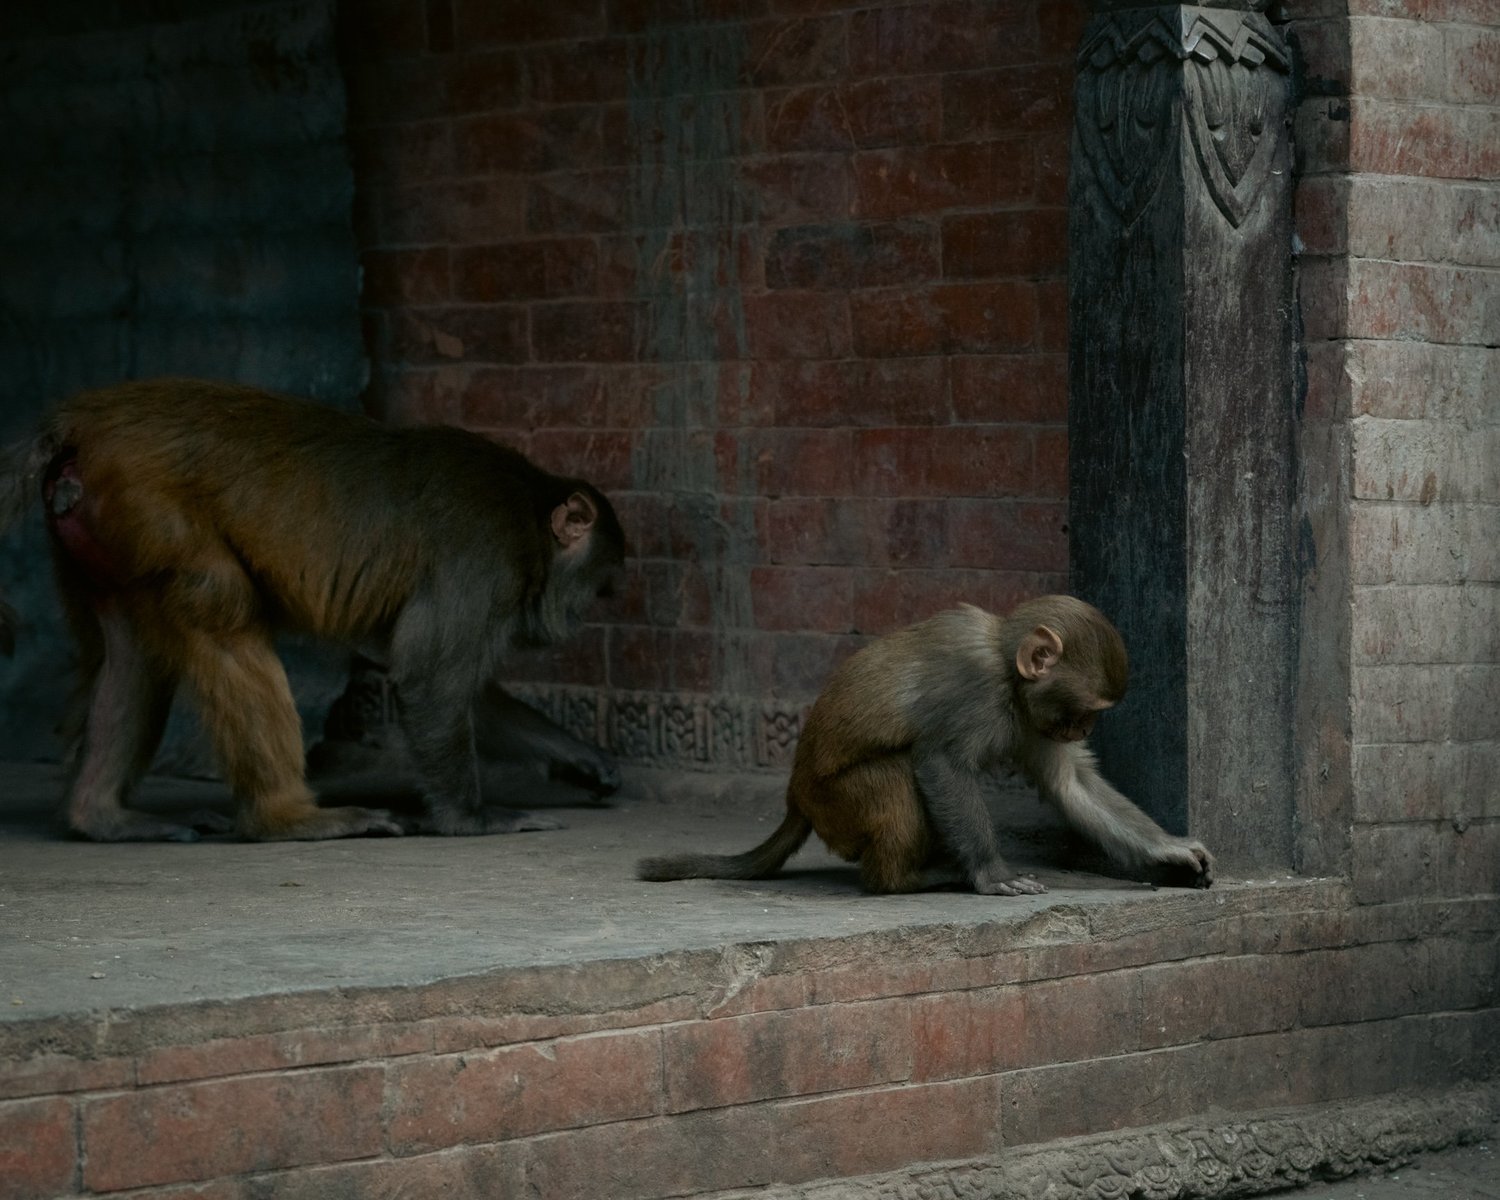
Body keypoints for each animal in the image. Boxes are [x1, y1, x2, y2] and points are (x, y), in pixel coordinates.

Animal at [0, 377, 625, 843]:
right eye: (600, 586)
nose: (581, 619)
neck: (527, 515)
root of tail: (87, 421)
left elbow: (415, 666)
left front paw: (577, 757)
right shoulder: (483, 559)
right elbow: (429, 677)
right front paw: (471, 819)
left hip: (103, 527)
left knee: (133, 655)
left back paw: (100, 816)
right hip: (146, 500)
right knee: (223, 608)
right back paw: (285, 819)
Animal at [638, 597, 1214, 895]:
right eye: (1089, 711)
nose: (1085, 732)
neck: (1008, 672)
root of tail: (796, 796)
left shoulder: (1034, 720)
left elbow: (1070, 783)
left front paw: (1170, 848)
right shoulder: (975, 689)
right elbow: (941, 763)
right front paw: (990, 875)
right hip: (836, 803)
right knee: (894, 775)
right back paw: (904, 880)